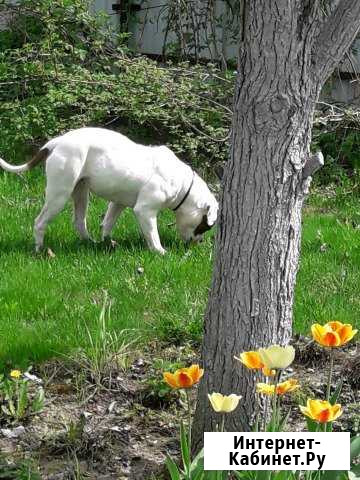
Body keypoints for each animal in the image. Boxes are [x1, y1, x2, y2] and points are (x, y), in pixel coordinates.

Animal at [0, 127, 217, 255]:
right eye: (204, 226)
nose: (199, 243)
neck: (182, 184)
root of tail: (56, 142)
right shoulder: (145, 211)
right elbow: (152, 234)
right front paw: (160, 252)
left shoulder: (117, 203)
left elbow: (108, 223)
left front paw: (107, 242)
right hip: (59, 195)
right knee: (40, 222)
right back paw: (39, 249)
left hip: (81, 193)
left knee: (79, 221)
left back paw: (90, 243)